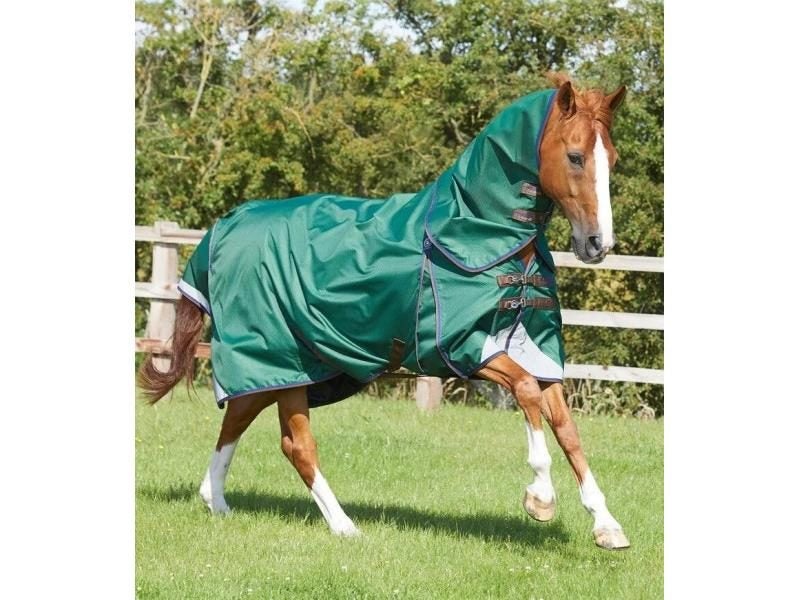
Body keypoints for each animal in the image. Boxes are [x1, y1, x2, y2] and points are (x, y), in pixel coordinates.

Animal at [139, 73, 630, 550]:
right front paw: (540, 498)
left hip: (291, 366)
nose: (597, 244)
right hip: (281, 357)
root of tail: (224, 227)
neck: (480, 237)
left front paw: (607, 526)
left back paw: (216, 502)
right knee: (296, 445)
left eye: (612, 158)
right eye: (574, 156)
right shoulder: (466, 349)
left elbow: (567, 428)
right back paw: (344, 527)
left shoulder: (535, 351)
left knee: (239, 416)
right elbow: (527, 393)